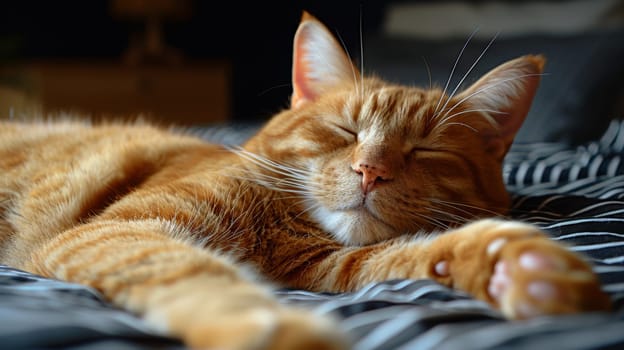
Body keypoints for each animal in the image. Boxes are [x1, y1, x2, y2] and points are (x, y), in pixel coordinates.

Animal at [0, 10, 616, 350]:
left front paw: (515, 267)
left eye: (425, 150)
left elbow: (410, 255)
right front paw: (271, 329)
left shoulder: (331, 269)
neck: (278, 224)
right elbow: (193, 271)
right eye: (345, 131)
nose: (371, 169)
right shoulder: (121, 230)